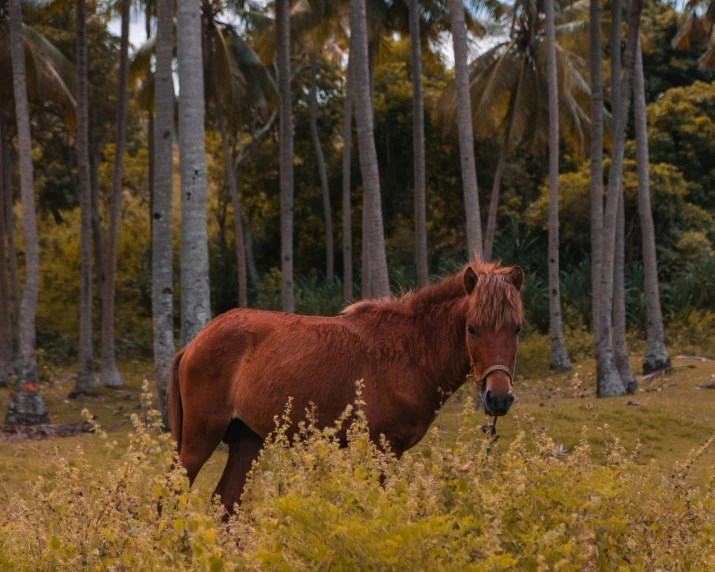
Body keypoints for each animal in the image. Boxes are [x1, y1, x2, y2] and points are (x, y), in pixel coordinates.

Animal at [169, 260, 524, 512]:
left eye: (517, 329)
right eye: (472, 328)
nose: (499, 398)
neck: (408, 352)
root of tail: (195, 343)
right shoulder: (382, 449)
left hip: (246, 440)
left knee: (225, 504)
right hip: (200, 439)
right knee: (173, 495)